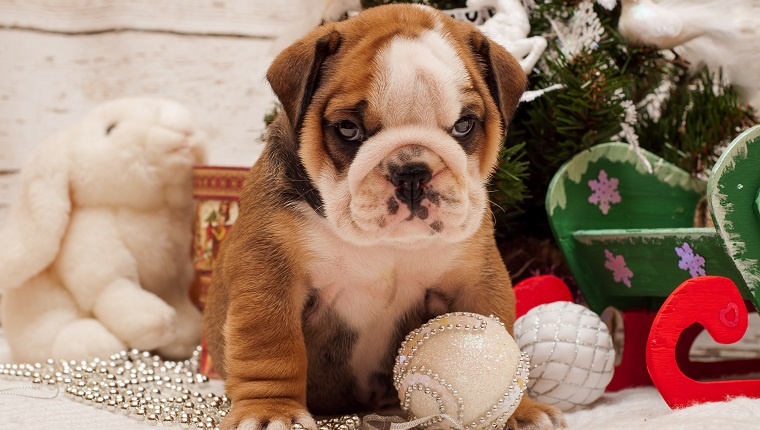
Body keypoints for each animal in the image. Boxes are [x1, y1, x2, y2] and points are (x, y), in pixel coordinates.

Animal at [202, 3, 564, 430]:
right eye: (348, 129)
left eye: (464, 125)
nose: (412, 172)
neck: (386, 243)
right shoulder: (270, 273)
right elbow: (271, 346)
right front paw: (271, 411)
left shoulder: (474, 279)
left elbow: (500, 335)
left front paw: (518, 411)